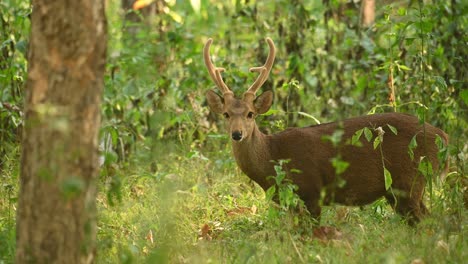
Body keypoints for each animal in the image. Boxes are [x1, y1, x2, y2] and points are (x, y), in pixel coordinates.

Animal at [205, 37, 450, 225]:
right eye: (226, 114)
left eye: (250, 114)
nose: (237, 134)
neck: (273, 156)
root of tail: (443, 137)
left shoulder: (312, 191)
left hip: (410, 179)